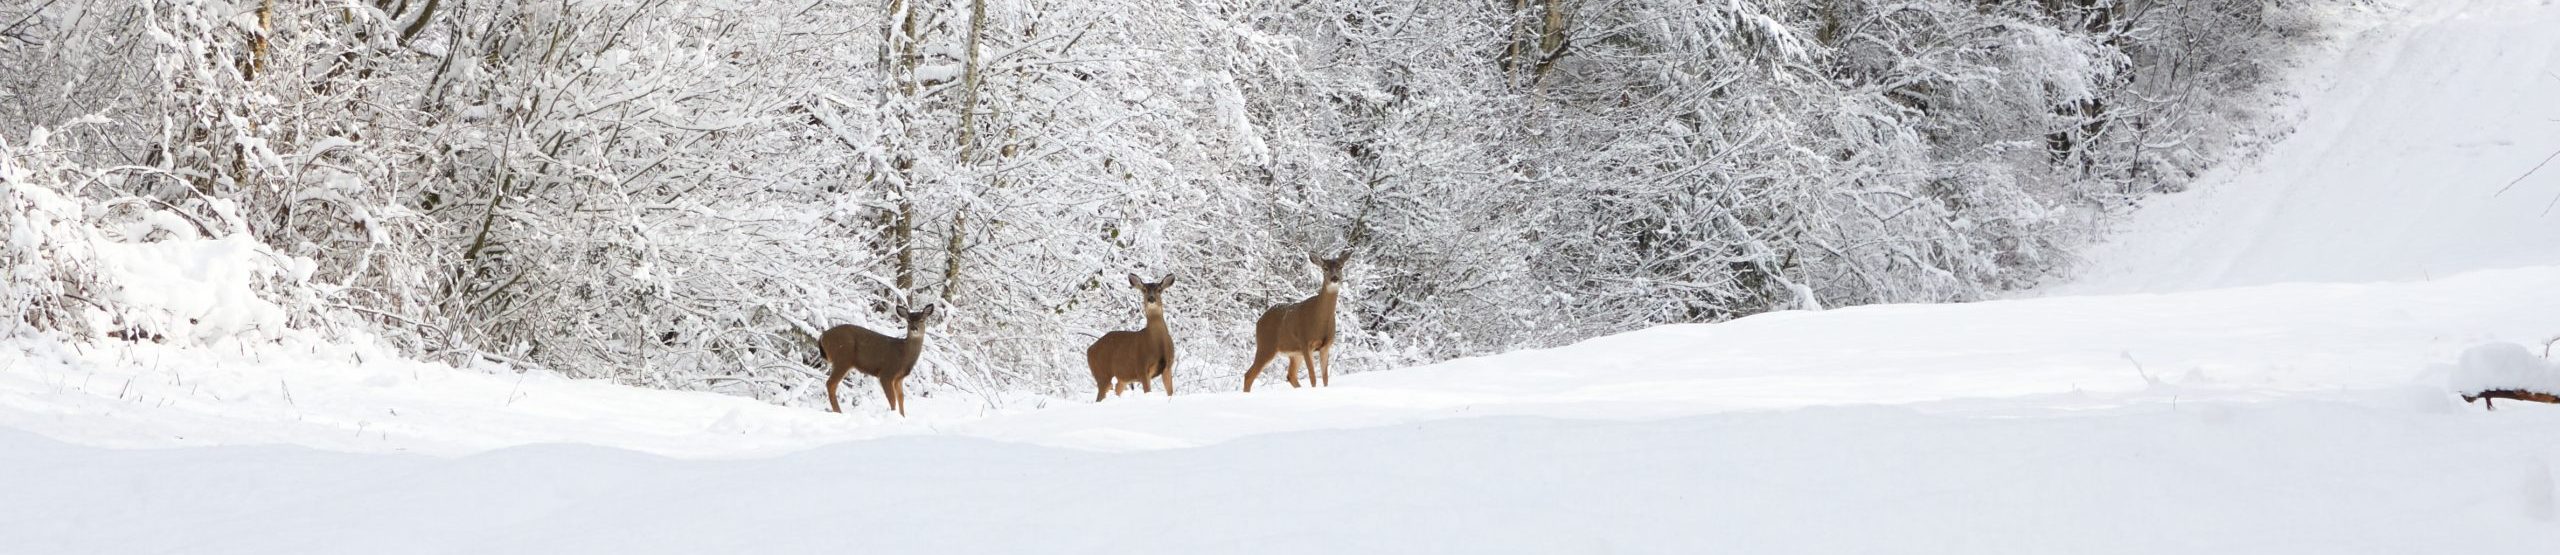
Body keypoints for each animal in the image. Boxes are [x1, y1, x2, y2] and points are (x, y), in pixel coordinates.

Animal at [1086, 274, 1178, 402]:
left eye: (1159, 290)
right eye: (1144, 290)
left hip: (1122, 378)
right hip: (1102, 372)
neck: (1157, 343)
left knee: (1116, 390)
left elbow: (1171, 393)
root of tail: (1089, 350)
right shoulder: (1141, 367)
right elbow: (1148, 391)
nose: (1151, 298)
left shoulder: (1168, 367)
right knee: (1100, 397)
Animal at [1243, 252, 1348, 392]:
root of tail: (1259, 321)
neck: (1320, 320)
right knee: (1249, 375)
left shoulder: (1326, 346)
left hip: (1294, 353)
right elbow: (1313, 376)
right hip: (1266, 345)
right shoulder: (1305, 342)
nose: (1334, 278)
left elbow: (1325, 378)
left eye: (1341, 267)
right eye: (1324, 268)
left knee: (1290, 375)